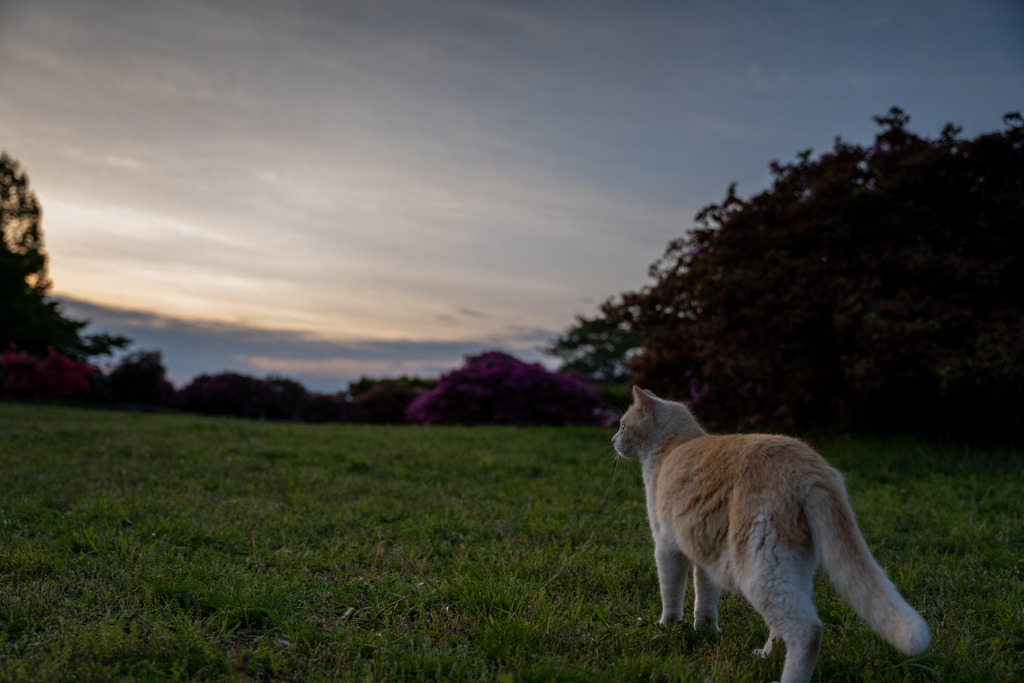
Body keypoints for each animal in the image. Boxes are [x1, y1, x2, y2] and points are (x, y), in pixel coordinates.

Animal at [610, 387, 933, 683]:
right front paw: (705, 632)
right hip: (788, 568)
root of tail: (814, 470)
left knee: (809, 630)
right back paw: (765, 657)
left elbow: (672, 595)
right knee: (782, 627)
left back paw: (786, 676)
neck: (673, 445)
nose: (613, 440)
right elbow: (705, 600)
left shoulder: (666, 548)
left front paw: (667, 628)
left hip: (759, 568)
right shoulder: (703, 554)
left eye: (623, 426)